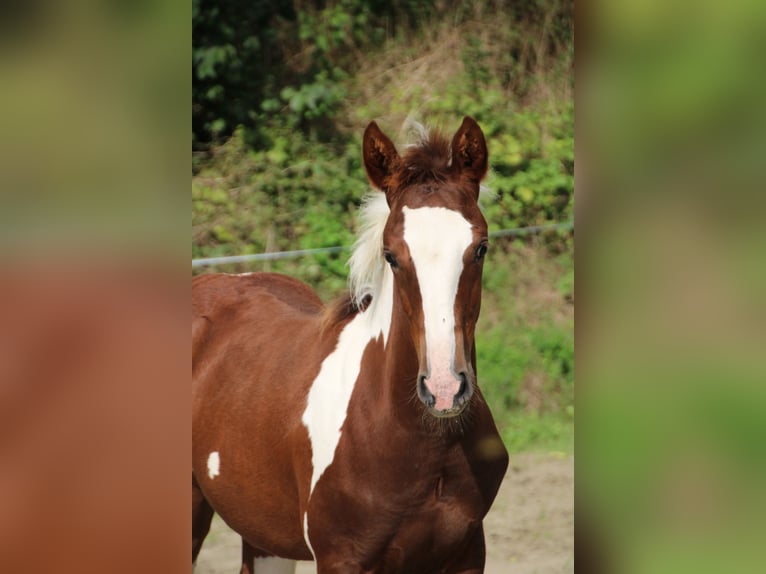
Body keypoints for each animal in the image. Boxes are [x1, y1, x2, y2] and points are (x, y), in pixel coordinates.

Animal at [194, 117, 510, 574]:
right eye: (391, 254)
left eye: (480, 247)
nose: (444, 390)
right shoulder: (342, 558)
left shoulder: (467, 555)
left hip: (264, 535)